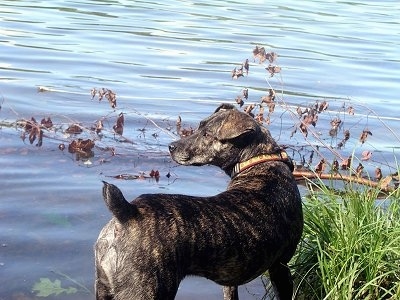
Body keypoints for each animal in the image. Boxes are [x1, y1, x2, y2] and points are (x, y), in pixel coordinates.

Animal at [94, 103, 304, 300]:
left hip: (104, 287)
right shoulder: (281, 266)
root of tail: (127, 212)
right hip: (149, 290)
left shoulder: (231, 280)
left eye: (207, 134)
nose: (171, 146)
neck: (261, 163)